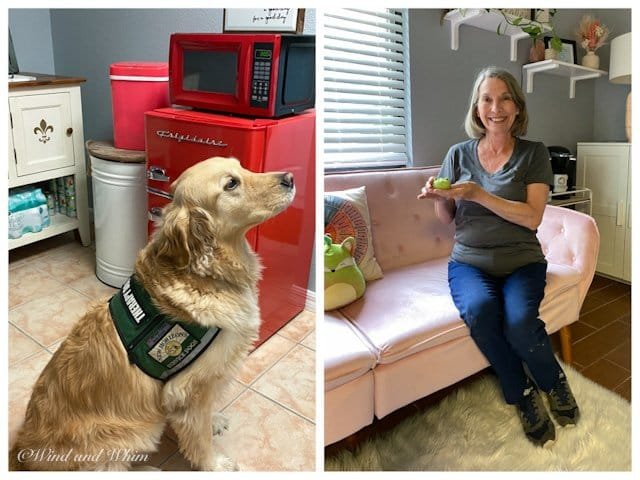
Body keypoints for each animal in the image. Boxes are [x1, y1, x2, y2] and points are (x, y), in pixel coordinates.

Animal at [10, 158, 296, 472]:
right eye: (231, 183)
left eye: (243, 167)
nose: (290, 178)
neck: (205, 272)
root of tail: (21, 451)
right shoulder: (189, 389)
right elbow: (199, 437)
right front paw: (214, 464)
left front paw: (215, 420)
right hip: (134, 430)